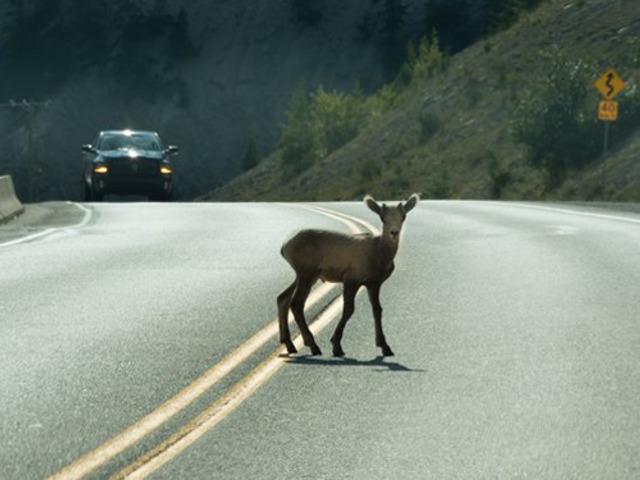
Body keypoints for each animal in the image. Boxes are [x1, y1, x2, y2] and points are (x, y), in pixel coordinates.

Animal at [276, 194, 420, 356]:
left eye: (403, 216)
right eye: (383, 217)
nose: (394, 233)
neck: (378, 254)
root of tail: (284, 247)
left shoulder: (373, 283)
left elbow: (377, 310)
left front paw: (384, 346)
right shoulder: (351, 280)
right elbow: (348, 310)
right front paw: (336, 346)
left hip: (305, 276)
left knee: (283, 298)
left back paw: (290, 344)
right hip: (306, 274)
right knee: (296, 304)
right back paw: (313, 345)